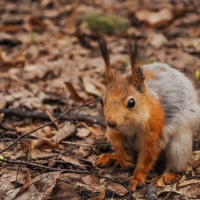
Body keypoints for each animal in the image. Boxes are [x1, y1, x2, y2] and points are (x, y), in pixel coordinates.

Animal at [95, 33, 200, 191]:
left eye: (131, 103)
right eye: (102, 101)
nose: (111, 123)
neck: (131, 125)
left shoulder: (154, 134)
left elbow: (147, 157)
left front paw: (137, 177)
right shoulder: (115, 131)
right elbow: (116, 140)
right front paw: (121, 157)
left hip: (180, 143)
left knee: (177, 164)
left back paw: (166, 176)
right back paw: (112, 157)